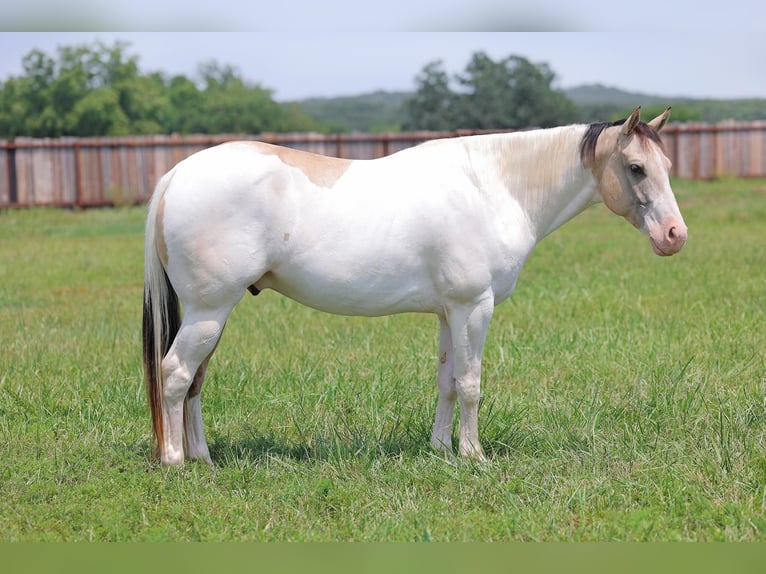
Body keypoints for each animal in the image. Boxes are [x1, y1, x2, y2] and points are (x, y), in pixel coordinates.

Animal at [142, 108, 688, 468]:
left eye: (667, 167)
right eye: (636, 168)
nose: (674, 235)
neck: (493, 187)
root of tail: (175, 174)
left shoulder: (449, 312)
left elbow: (447, 381)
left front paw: (442, 450)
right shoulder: (474, 307)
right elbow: (471, 383)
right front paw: (474, 455)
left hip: (213, 314)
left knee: (194, 381)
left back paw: (203, 459)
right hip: (209, 311)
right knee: (175, 374)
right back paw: (175, 462)